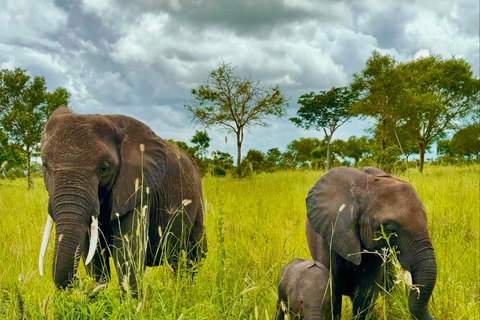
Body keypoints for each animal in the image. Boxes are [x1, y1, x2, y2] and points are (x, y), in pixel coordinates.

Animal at [38, 106, 207, 292]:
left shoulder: (137, 187)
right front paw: (98, 289)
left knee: (194, 256)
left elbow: (128, 256)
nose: (81, 285)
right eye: (45, 165)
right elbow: (93, 256)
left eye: (104, 168)